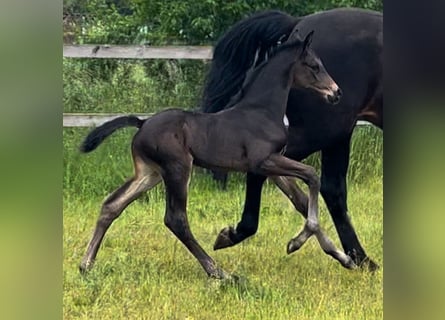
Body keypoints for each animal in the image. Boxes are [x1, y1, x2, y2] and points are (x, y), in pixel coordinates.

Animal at [79, 28, 350, 278]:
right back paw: (218, 272)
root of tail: (142, 123)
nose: (336, 92)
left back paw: (85, 265)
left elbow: (301, 201)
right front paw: (295, 243)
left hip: (150, 173)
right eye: (314, 66)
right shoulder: (263, 162)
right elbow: (312, 175)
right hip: (178, 169)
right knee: (176, 219)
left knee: (112, 205)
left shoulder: (274, 167)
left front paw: (342, 257)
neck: (261, 111)